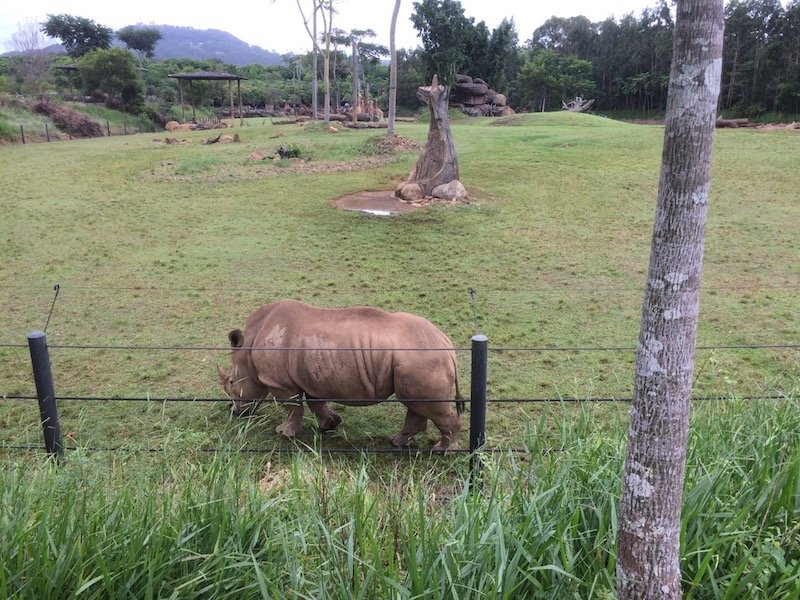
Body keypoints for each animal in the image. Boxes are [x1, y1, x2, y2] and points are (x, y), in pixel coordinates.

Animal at [222, 300, 466, 450]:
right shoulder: (311, 377)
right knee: (416, 403)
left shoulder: (281, 383)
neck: (250, 343)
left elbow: (292, 408)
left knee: (425, 405)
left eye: (232, 382)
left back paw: (443, 451)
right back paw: (398, 442)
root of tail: (446, 343)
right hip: (420, 358)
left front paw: (284, 433)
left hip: (423, 357)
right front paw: (330, 424)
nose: (234, 412)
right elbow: (315, 403)